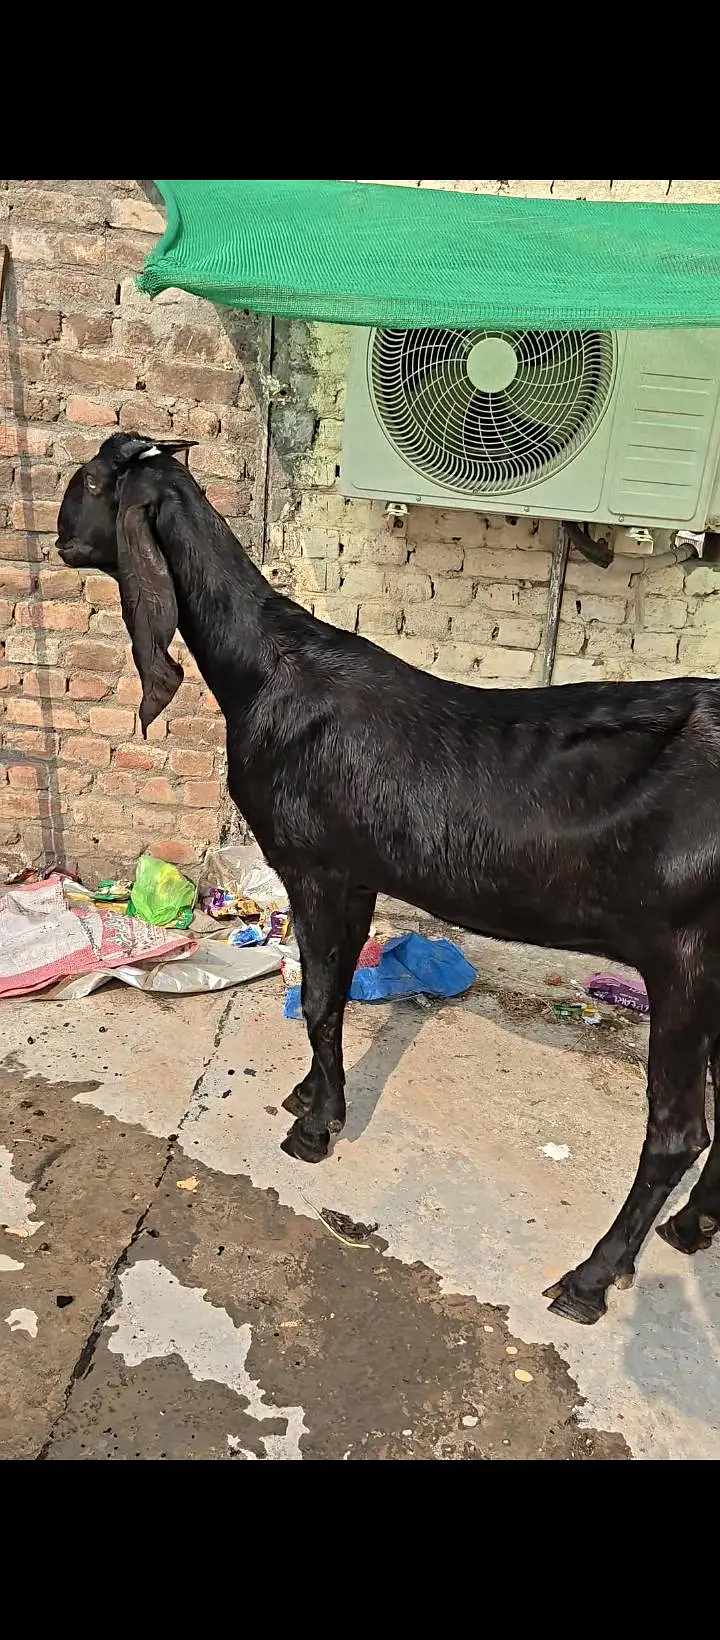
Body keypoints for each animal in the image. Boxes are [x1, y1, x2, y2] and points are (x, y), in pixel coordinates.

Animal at [56, 432, 720, 1326]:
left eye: (93, 484)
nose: (59, 541)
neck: (265, 670)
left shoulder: (314, 865)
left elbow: (319, 996)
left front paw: (315, 1131)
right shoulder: (360, 872)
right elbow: (331, 992)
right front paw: (309, 1093)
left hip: (686, 957)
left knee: (677, 1132)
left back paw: (589, 1279)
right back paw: (691, 1227)